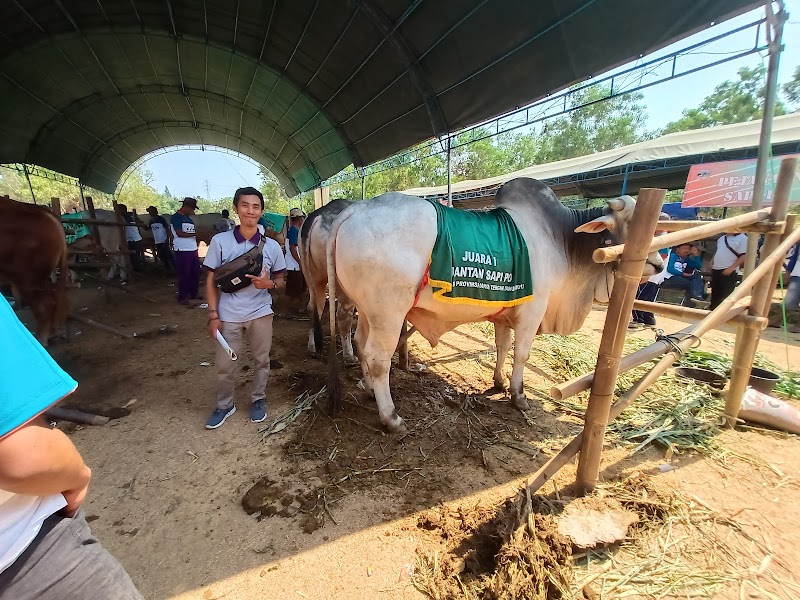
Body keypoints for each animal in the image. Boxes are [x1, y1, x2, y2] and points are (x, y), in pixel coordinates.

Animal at [324, 177, 664, 432]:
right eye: (633, 224)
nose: (660, 265)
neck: (562, 239)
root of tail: (356, 209)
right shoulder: (532, 312)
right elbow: (522, 354)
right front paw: (518, 395)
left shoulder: (505, 313)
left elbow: (502, 346)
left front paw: (499, 382)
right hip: (389, 314)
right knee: (379, 358)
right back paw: (391, 417)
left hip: (368, 310)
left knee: (360, 342)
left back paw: (369, 390)